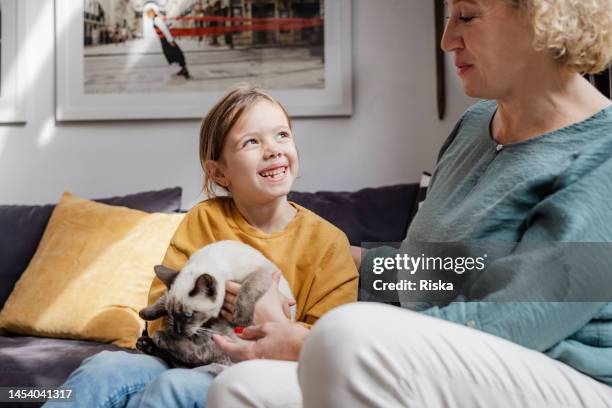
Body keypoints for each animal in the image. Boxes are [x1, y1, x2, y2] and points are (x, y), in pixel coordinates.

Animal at [136, 241, 294, 368]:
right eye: (170, 314)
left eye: (188, 315)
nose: (178, 330)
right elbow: (161, 301)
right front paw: (144, 313)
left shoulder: (260, 273)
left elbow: (246, 290)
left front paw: (242, 319)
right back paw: (146, 343)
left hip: (223, 336)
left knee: (198, 356)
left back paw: (159, 338)